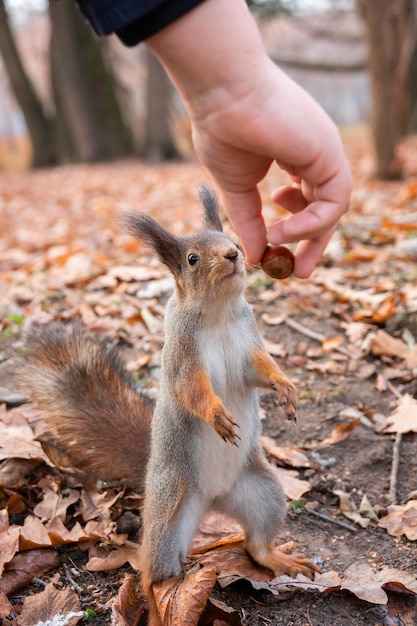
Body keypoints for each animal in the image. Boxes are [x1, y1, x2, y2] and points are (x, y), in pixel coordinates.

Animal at [21, 186, 316, 624]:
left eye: (230, 235)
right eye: (192, 258)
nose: (234, 254)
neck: (218, 313)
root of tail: (213, 499)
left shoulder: (248, 344)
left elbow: (262, 369)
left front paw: (286, 388)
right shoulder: (182, 357)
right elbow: (191, 390)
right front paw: (216, 416)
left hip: (263, 493)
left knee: (256, 543)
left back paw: (278, 559)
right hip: (170, 509)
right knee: (153, 573)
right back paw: (160, 605)